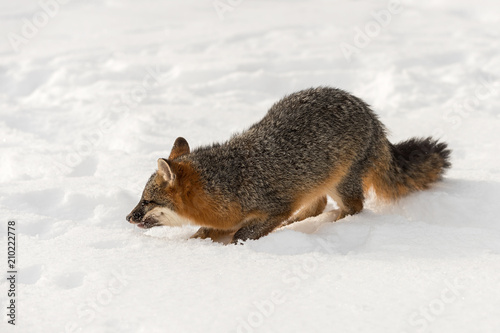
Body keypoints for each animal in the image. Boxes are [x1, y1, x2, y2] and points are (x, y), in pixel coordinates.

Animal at [124, 87, 450, 244]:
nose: (127, 217)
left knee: (352, 208)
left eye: (146, 201)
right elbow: (206, 232)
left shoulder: (276, 206)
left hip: (341, 184)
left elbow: (241, 235)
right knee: (317, 205)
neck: (228, 184)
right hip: (315, 183)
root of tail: (371, 115)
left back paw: (329, 224)